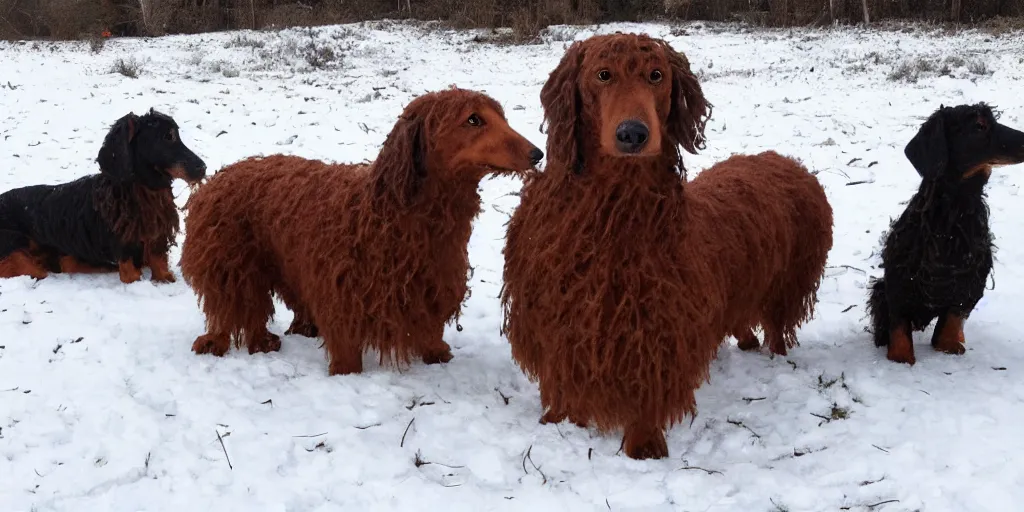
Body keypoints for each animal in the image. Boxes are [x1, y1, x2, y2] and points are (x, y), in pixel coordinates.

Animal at [0, 109, 205, 284]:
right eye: (168, 136)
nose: (203, 167)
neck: (140, 193)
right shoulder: (125, 249)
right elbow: (132, 273)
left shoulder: (157, 240)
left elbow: (160, 265)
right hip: (15, 247)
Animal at [178, 88, 544, 374]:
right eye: (473, 120)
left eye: (501, 116)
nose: (537, 153)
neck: (389, 213)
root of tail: (216, 178)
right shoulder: (340, 294)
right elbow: (345, 349)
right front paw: (345, 372)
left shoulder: (433, 283)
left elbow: (429, 328)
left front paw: (436, 353)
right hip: (232, 265)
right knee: (231, 310)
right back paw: (229, 342)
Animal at [501, 35, 831, 460]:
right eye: (602, 75)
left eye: (656, 75)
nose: (633, 134)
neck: (612, 217)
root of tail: (788, 162)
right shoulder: (556, 321)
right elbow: (562, 381)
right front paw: (558, 422)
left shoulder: (658, 328)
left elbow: (649, 392)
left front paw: (644, 446)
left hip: (789, 284)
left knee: (777, 326)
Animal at [868, 102, 1024, 364]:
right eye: (979, 125)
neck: (953, 213)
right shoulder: (899, 276)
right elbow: (899, 323)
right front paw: (900, 357)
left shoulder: (972, 277)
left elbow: (953, 318)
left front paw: (949, 345)